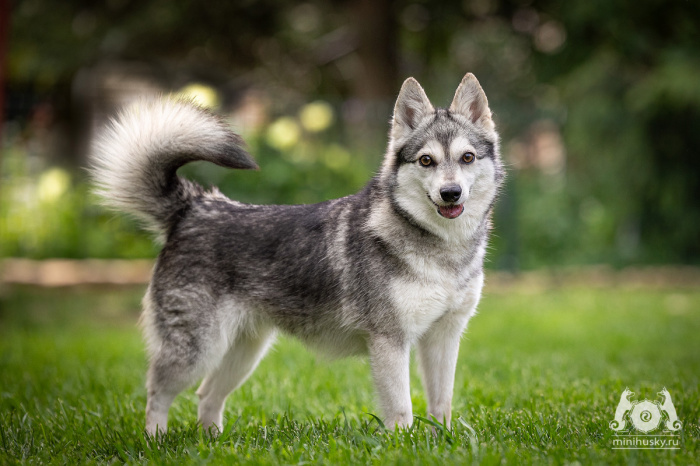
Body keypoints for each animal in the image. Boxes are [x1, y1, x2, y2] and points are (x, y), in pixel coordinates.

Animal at [90, 72, 504, 434]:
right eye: (426, 160)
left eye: (467, 158)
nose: (450, 193)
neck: (442, 248)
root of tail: (195, 207)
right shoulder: (390, 341)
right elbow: (402, 409)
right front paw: (404, 445)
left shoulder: (443, 338)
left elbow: (441, 404)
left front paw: (441, 441)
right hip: (196, 351)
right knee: (156, 393)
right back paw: (156, 440)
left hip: (243, 352)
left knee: (207, 396)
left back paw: (214, 444)